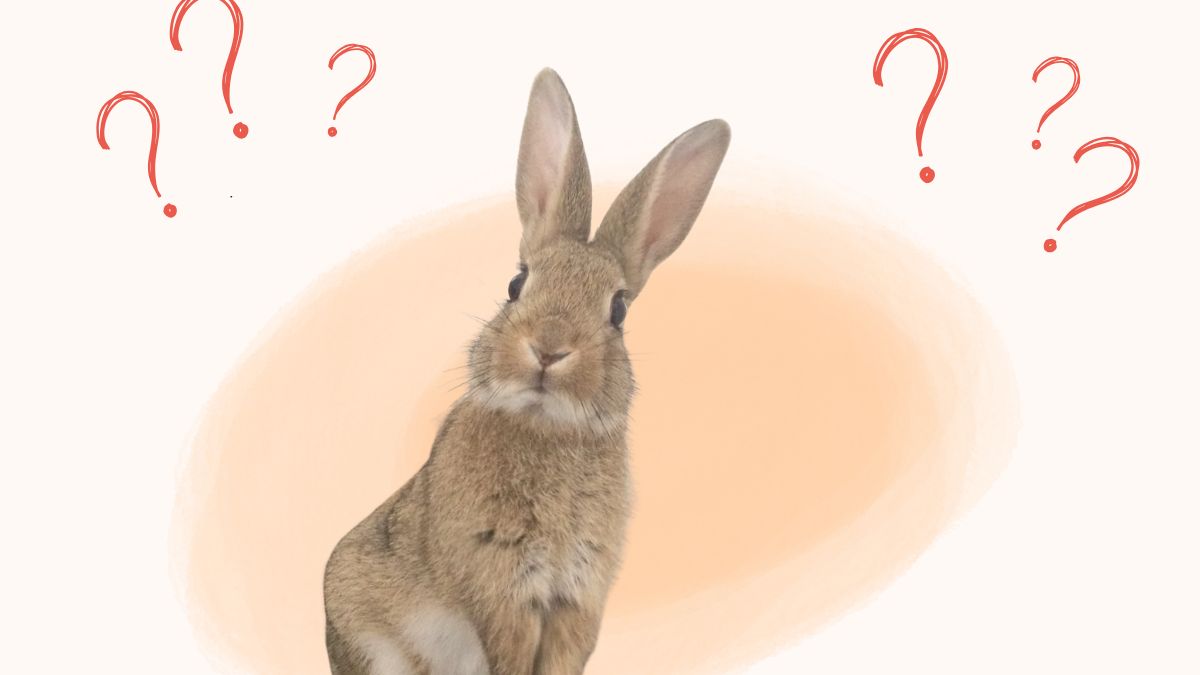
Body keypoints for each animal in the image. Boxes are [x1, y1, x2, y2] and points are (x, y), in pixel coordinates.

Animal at [323, 67, 730, 675]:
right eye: (517, 283)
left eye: (619, 310)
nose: (550, 348)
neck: (548, 427)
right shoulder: (504, 591)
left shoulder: (575, 600)